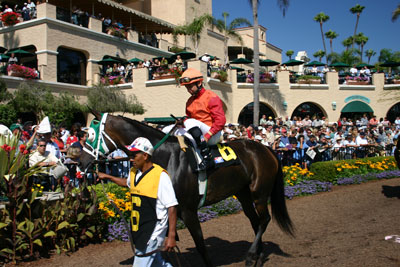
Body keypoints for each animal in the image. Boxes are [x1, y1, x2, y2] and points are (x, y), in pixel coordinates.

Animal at [80, 111, 294, 267]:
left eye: (91, 135)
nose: (79, 160)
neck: (165, 157)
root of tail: (266, 148)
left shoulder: (188, 210)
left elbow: (200, 245)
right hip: (243, 193)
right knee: (255, 221)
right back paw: (257, 256)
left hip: (259, 192)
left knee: (264, 219)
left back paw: (251, 256)